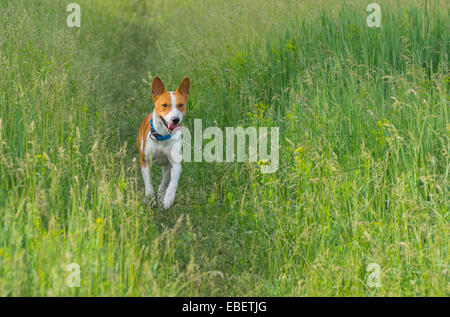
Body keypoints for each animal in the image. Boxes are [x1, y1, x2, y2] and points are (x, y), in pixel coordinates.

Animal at [135, 76, 188, 209]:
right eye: (164, 105)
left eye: (181, 105)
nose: (175, 119)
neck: (162, 137)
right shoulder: (144, 160)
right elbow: (148, 183)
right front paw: (149, 198)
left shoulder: (175, 163)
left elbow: (173, 182)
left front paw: (168, 198)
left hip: (167, 166)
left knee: (164, 182)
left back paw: (161, 195)